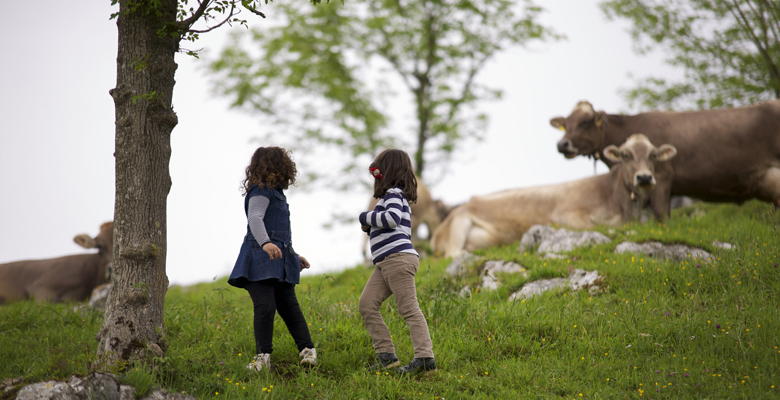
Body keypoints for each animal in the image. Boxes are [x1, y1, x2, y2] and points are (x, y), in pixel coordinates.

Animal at [431, 134, 676, 258]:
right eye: (625, 155)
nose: (644, 177)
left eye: (653, 155)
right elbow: (601, 227)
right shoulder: (565, 215)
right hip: (460, 223)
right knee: (452, 253)